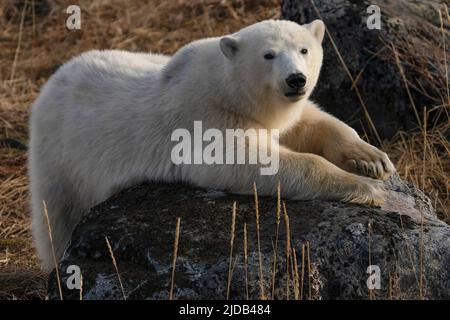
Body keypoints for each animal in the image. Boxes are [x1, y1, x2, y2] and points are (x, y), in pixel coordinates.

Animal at [28, 19, 394, 270]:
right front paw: (365, 187)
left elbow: (310, 121)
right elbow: (248, 161)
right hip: (60, 161)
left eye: (304, 50)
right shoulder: (205, 120)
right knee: (56, 219)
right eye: (268, 55)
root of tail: (52, 81)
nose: (296, 80)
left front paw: (371, 160)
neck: (227, 90)